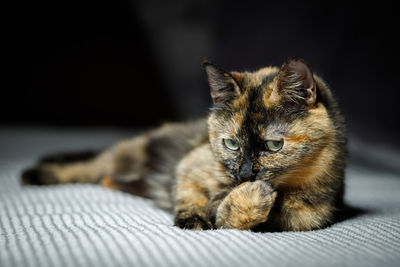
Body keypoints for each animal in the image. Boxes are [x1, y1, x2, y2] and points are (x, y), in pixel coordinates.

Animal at [21, 57, 346, 232]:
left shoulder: (307, 217)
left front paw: (250, 198)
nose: (244, 175)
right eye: (230, 143)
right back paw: (38, 174)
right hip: (128, 152)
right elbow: (190, 196)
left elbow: (232, 217)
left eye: (274, 145)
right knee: (89, 166)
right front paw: (194, 219)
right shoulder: (188, 166)